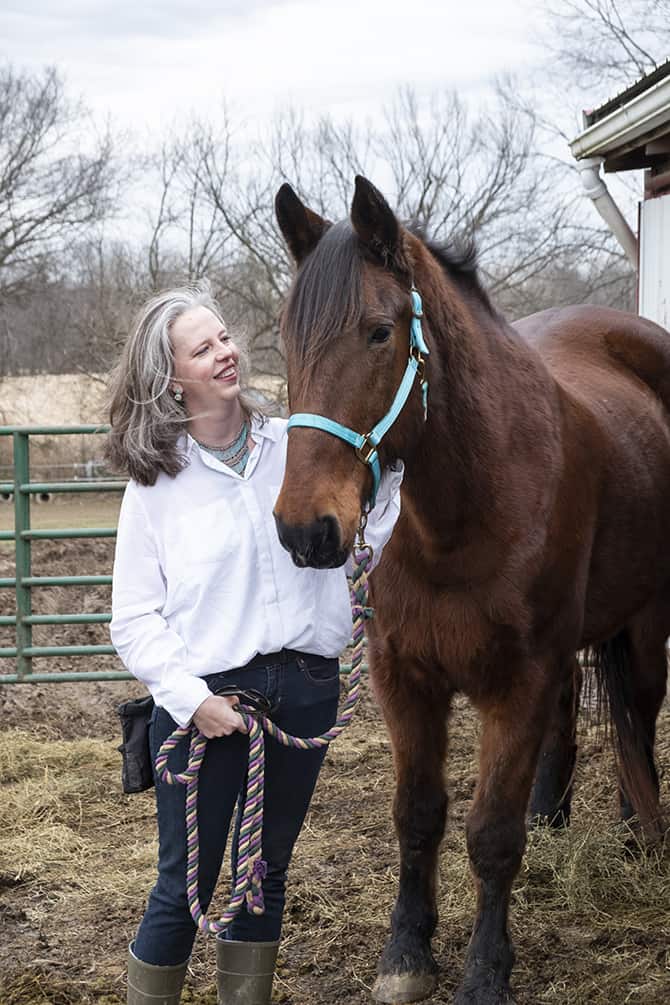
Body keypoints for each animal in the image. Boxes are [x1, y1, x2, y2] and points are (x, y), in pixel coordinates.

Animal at [271, 175, 670, 1005]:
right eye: (286, 341)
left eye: (380, 333)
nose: (305, 530)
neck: (458, 520)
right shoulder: (404, 676)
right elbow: (418, 814)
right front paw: (406, 954)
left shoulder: (517, 680)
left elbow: (490, 832)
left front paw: (487, 970)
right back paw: (555, 816)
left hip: (648, 621)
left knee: (637, 719)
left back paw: (637, 833)